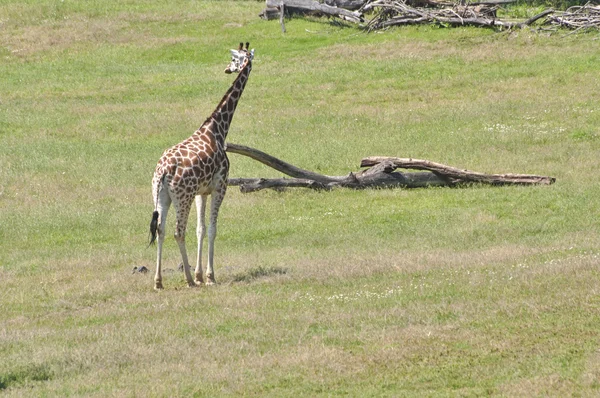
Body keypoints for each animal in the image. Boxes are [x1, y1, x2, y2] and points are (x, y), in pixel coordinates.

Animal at [149, 42, 254, 290]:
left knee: (161, 230)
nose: (228, 69)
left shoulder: (202, 192)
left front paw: (200, 274)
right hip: (182, 196)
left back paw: (159, 281)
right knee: (178, 232)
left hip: (161, 196)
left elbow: (201, 229)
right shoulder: (220, 186)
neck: (217, 128)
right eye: (234, 58)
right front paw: (208, 276)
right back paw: (187, 279)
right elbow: (213, 229)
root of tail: (163, 171)